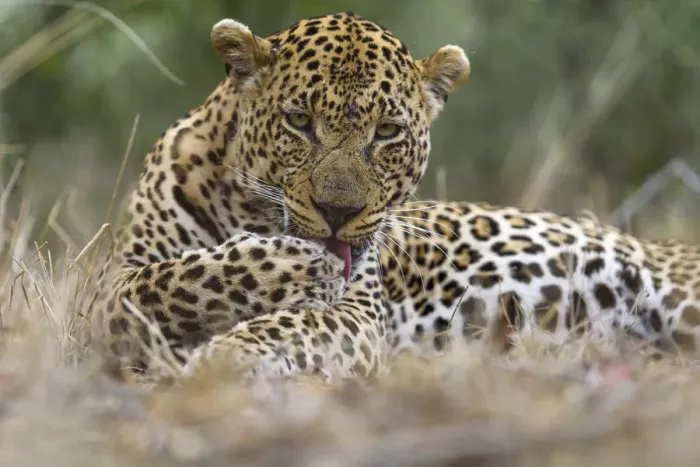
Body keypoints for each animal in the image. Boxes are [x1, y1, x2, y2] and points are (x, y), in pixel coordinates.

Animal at [89, 11, 700, 383]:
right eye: (299, 121)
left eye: (387, 133)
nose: (338, 212)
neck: (248, 210)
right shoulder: (111, 284)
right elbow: (172, 279)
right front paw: (291, 264)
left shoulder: (357, 312)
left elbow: (288, 325)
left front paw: (228, 354)